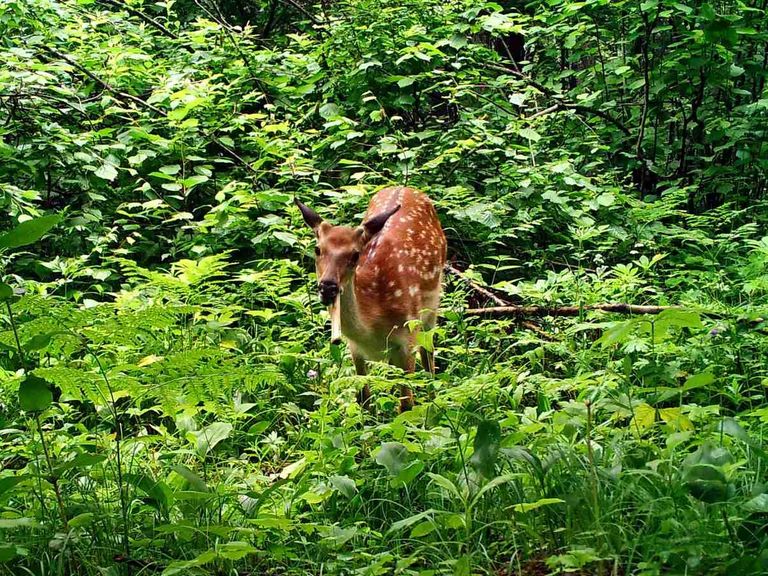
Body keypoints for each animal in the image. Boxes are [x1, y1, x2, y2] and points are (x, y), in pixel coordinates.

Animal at [295, 186, 447, 412]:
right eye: (317, 249)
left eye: (355, 254)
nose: (328, 287)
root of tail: (405, 187)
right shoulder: (354, 348)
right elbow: (364, 401)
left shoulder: (408, 336)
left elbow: (406, 406)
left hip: (430, 309)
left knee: (429, 357)